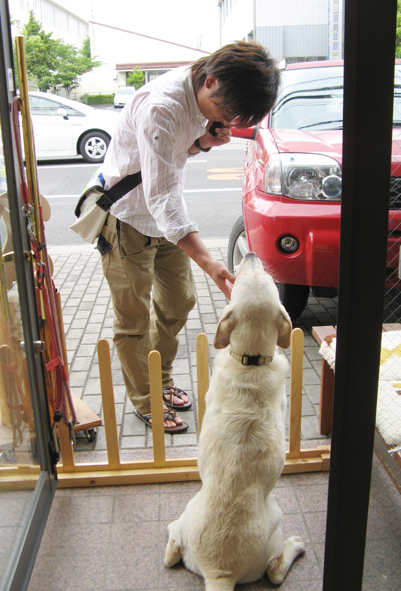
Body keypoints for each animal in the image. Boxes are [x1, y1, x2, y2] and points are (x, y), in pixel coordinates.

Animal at [164, 252, 305, 590]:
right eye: (263, 277)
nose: (251, 254)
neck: (250, 361)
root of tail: (219, 571)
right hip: (277, 515)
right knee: (275, 572)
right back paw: (294, 546)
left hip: (189, 510)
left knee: (172, 550)